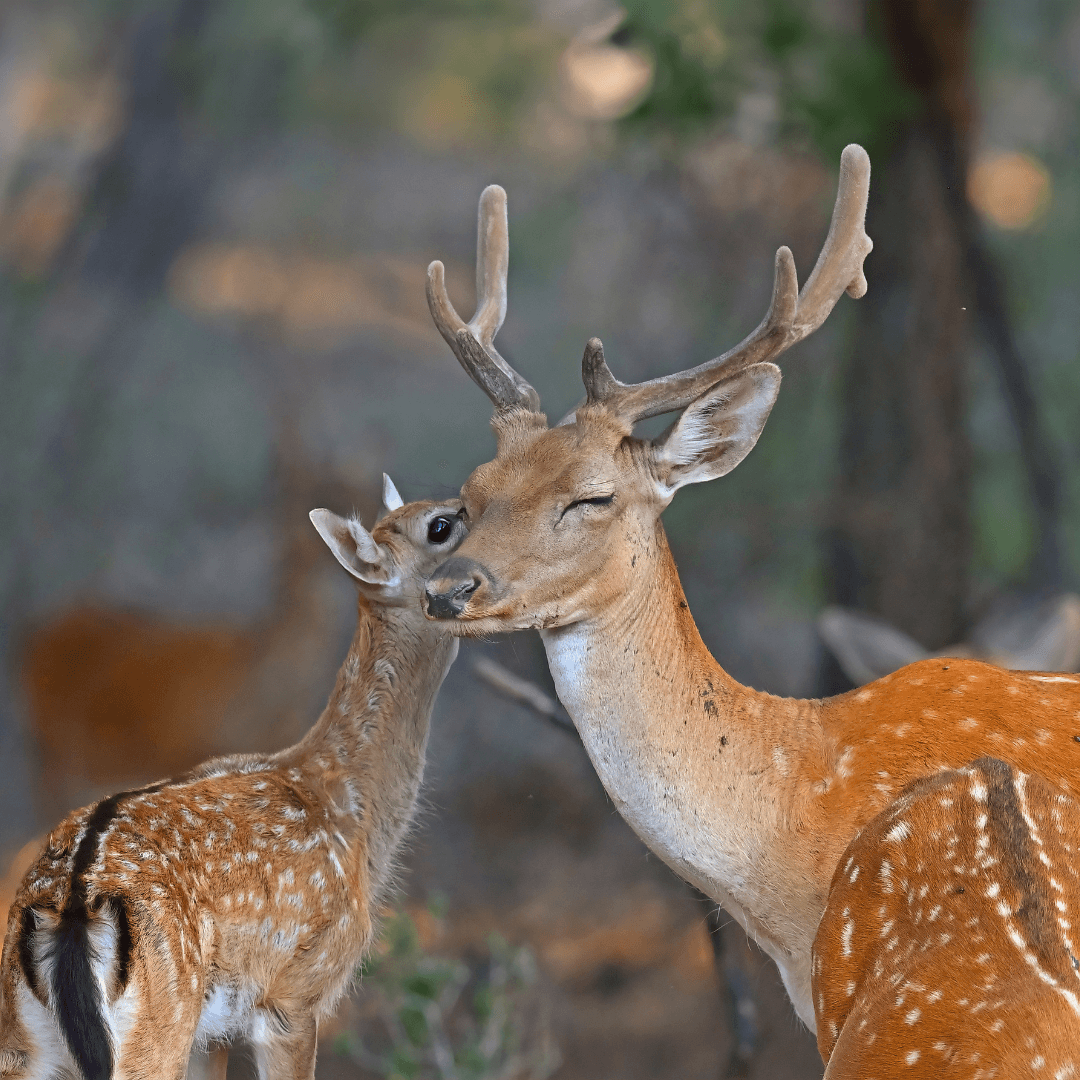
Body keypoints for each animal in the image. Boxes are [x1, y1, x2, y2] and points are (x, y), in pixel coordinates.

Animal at [0, 481, 466, 1080]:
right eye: (439, 527)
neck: (351, 807)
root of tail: (72, 913)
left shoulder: (212, 1034)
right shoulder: (295, 994)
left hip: (27, 1042)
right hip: (157, 1030)